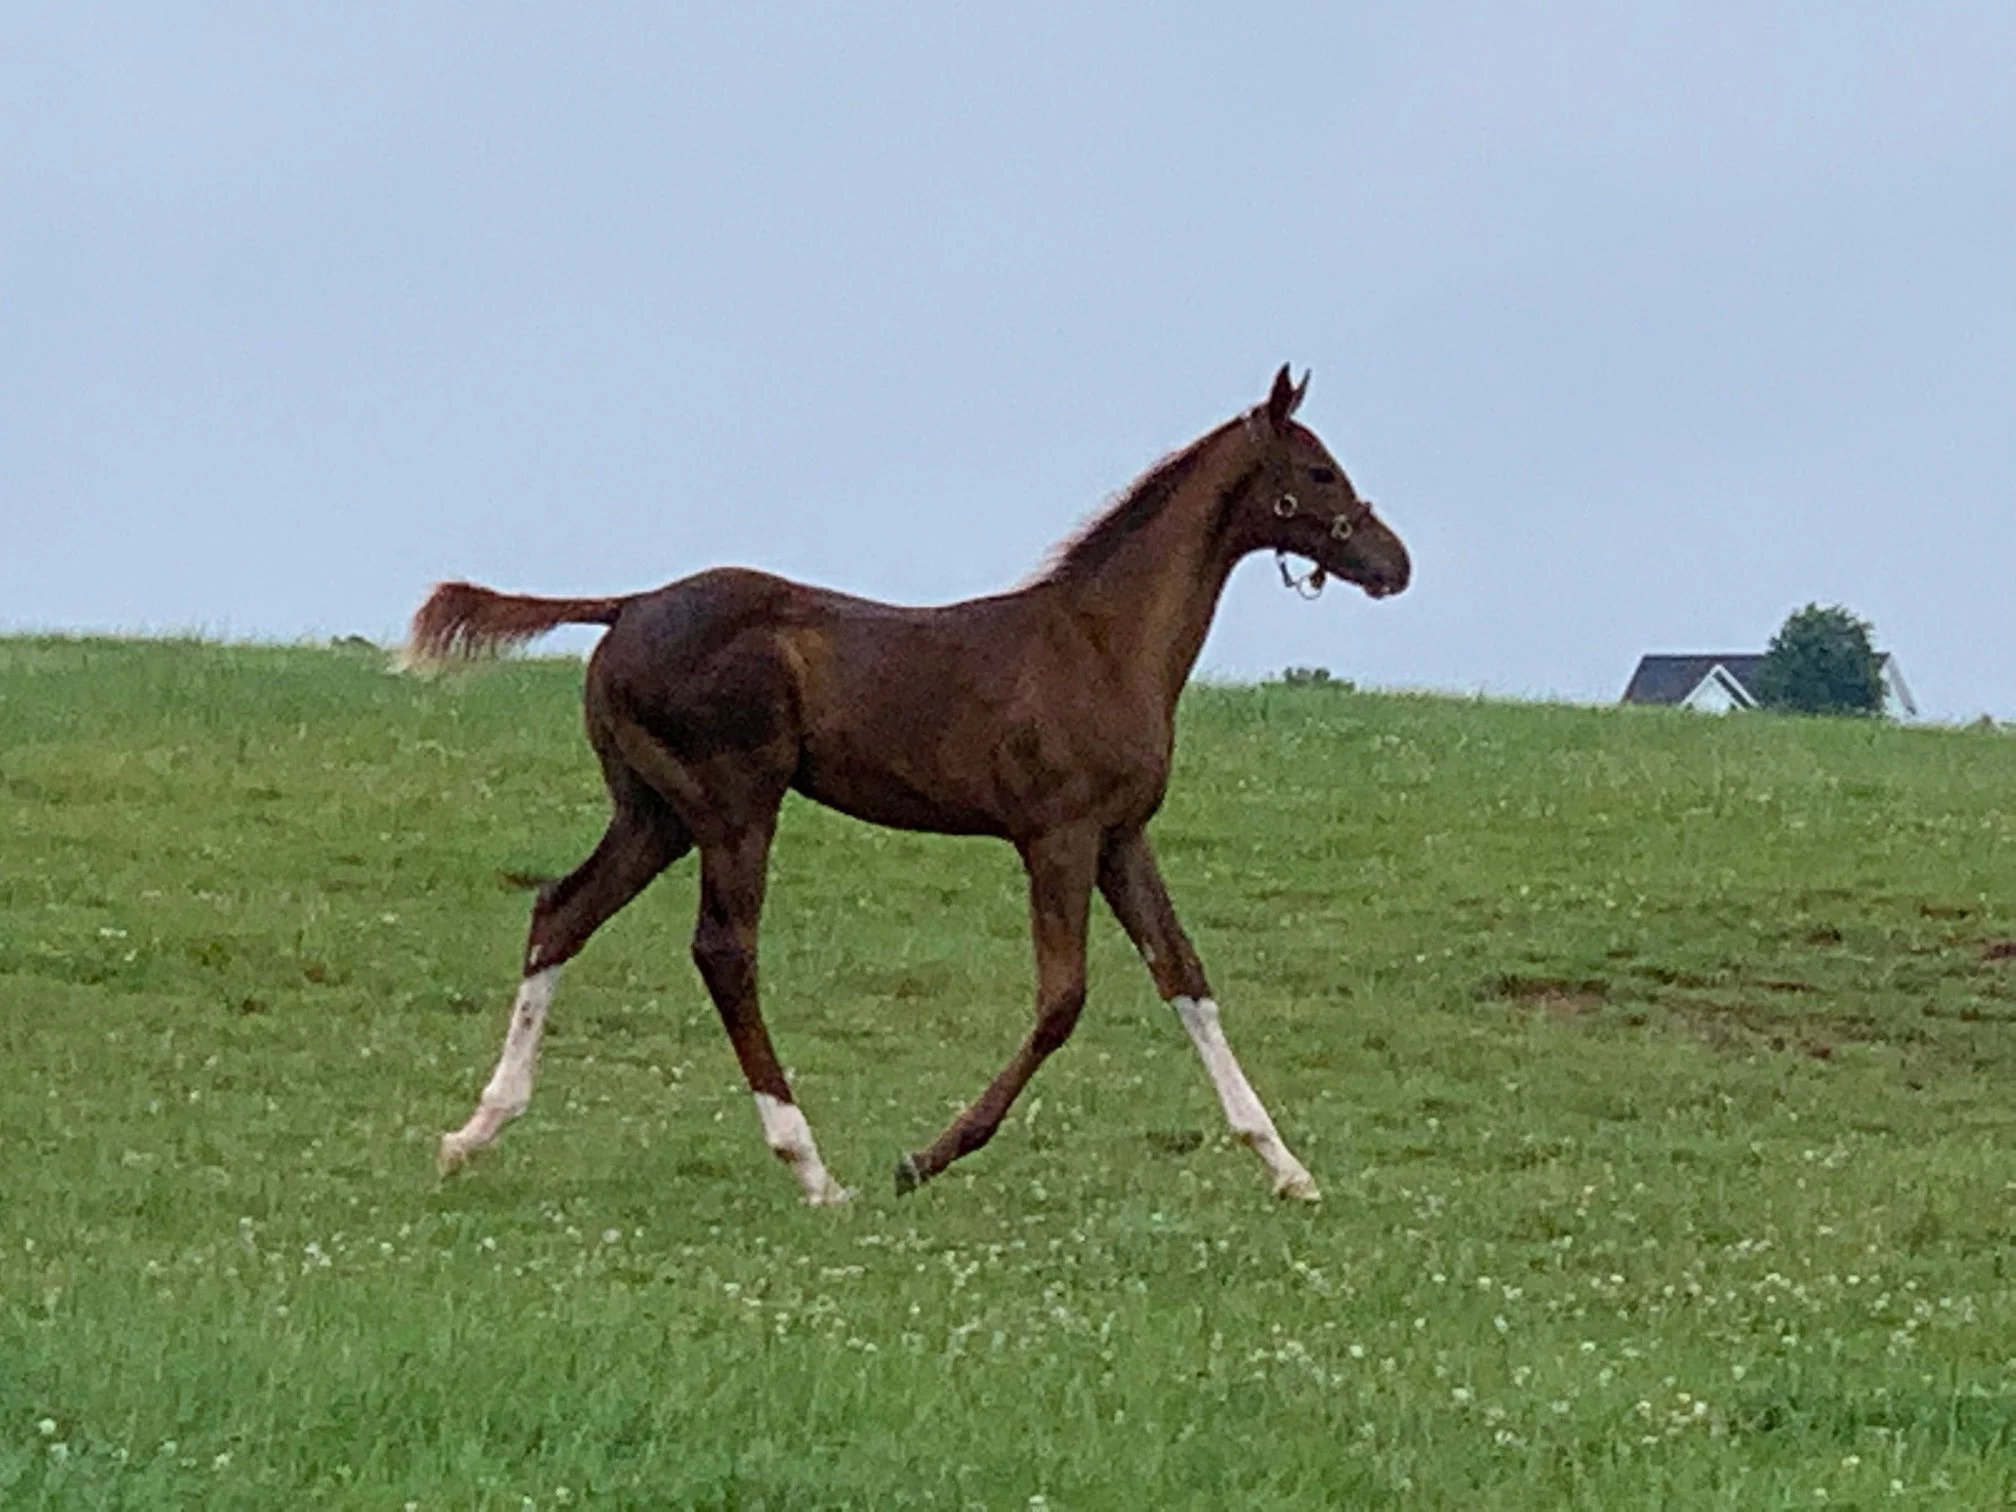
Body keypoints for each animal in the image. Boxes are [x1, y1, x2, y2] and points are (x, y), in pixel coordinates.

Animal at [411, 366, 1410, 1204]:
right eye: (1318, 472)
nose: (1394, 564)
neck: (1099, 643)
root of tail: (627, 608)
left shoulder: (1121, 835)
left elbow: (1185, 975)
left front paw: (1288, 1168)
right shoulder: (1058, 835)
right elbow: (1063, 998)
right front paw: (925, 1157)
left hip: (655, 814)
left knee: (561, 911)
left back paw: (475, 1132)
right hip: (734, 806)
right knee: (724, 951)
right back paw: (812, 1170)